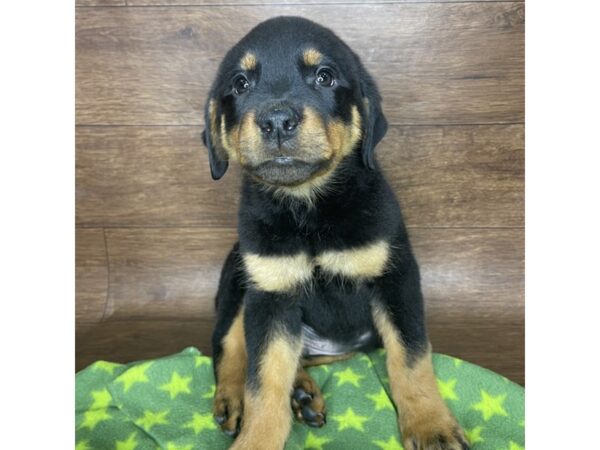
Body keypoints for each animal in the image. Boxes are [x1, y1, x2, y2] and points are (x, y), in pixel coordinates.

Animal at [202, 15, 468, 448]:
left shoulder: (396, 277)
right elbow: (263, 381)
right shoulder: (271, 294)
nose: (277, 121)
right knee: (228, 347)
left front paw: (431, 425)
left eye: (324, 77)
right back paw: (236, 398)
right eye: (240, 84)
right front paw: (257, 437)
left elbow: (411, 356)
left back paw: (302, 391)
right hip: (236, 283)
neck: (309, 208)